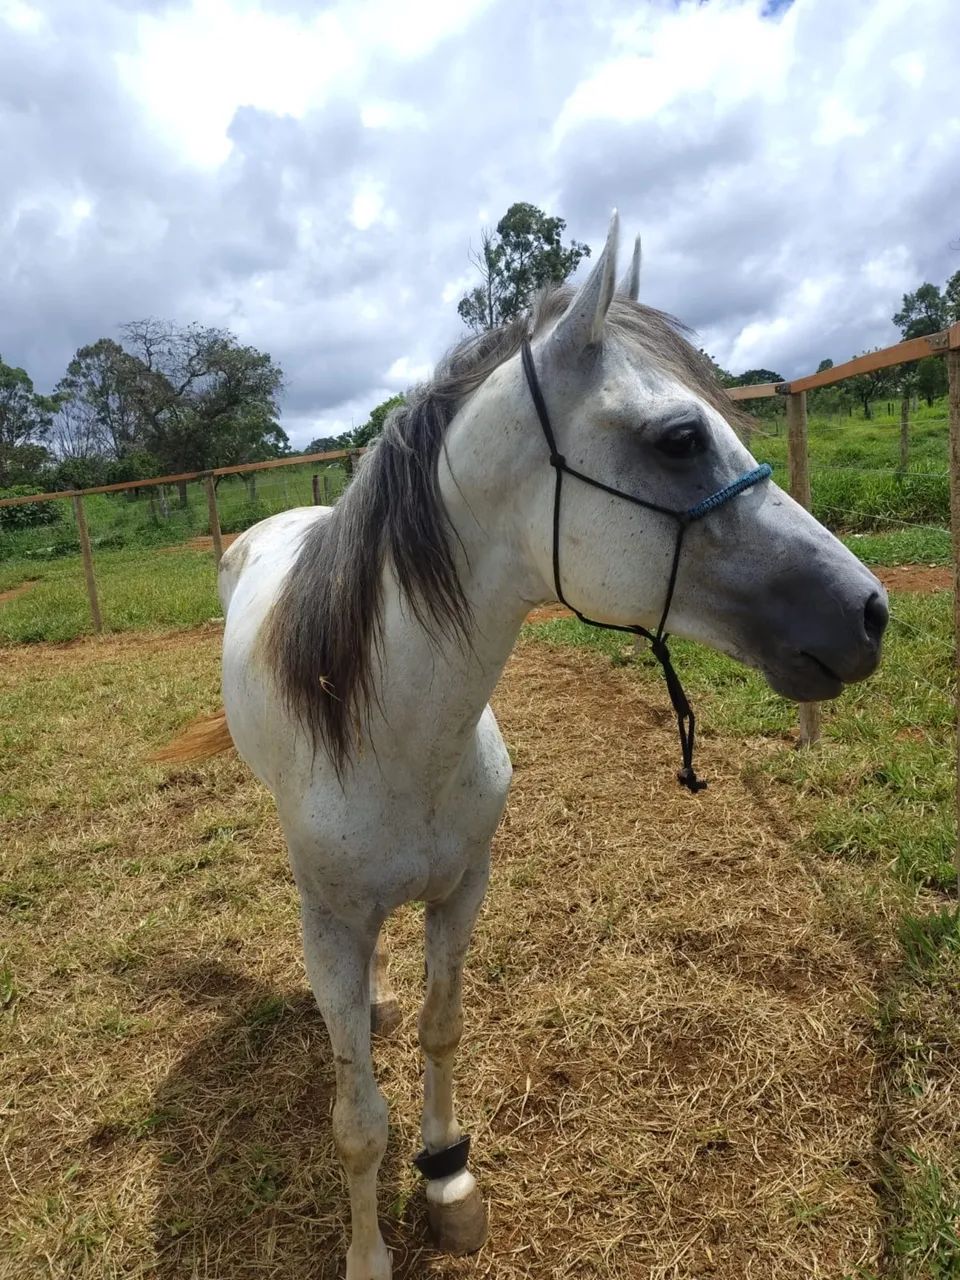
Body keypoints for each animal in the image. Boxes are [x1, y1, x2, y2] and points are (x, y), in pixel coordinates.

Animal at [157, 214, 887, 1279]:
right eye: (679, 438)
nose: (870, 613)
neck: (402, 738)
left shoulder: (465, 889)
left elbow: (440, 1030)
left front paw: (448, 1179)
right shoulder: (332, 924)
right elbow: (357, 1122)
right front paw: (369, 1250)